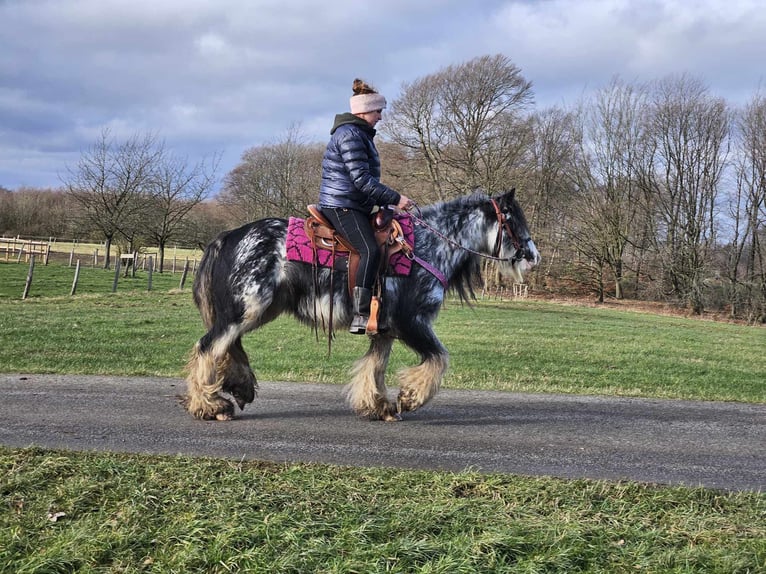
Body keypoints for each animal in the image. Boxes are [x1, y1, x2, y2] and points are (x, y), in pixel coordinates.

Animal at [182, 189, 540, 424]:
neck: (427, 248)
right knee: (208, 348)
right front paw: (409, 398)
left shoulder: (384, 330)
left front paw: (379, 406)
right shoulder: (413, 323)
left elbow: (375, 367)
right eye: (512, 219)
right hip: (245, 311)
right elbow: (439, 359)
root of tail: (229, 236)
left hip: (253, 311)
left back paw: (236, 390)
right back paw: (211, 406)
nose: (533, 256)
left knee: (227, 348)